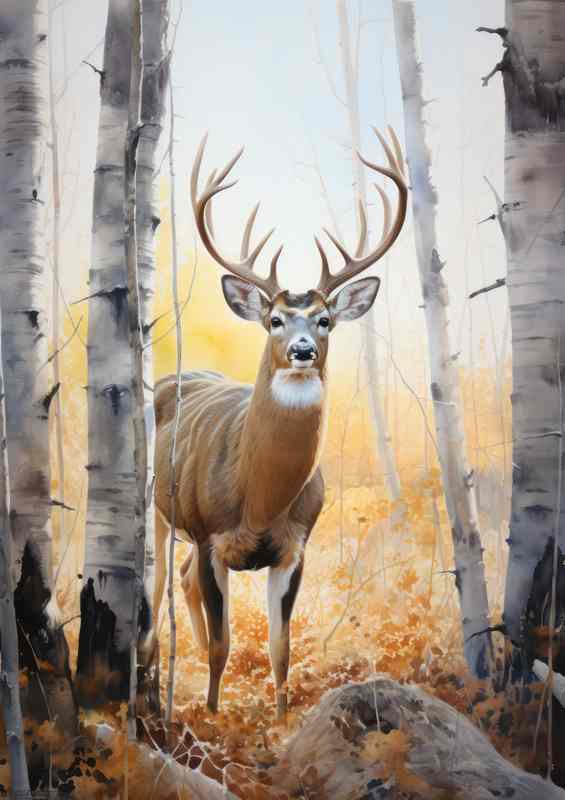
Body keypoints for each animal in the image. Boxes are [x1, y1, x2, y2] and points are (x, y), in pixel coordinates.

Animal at [153, 127, 407, 719]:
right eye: (274, 319)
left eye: (325, 318)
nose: (302, 350)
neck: (260, 499)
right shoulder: (209, 536)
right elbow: (224, 644)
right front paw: (213, 714)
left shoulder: (296, 545)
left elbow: (281, 646)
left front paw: (282, 716)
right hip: (157, 510)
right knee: (158, 587)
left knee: (183, 583)